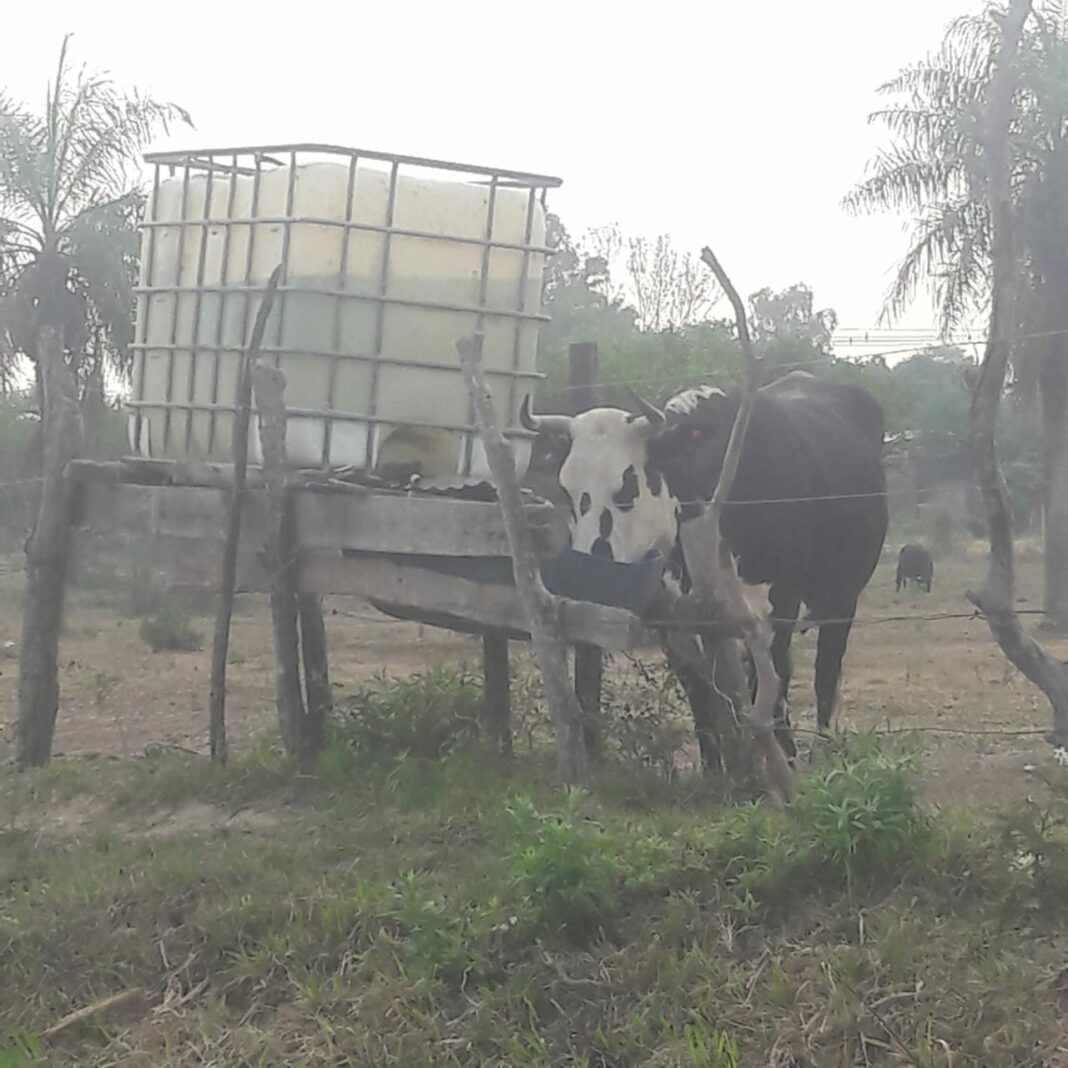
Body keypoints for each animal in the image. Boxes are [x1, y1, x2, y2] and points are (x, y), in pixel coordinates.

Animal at [521, 371, 888, 756]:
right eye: (567, 491)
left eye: (627, 486)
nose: (587, 573)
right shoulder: (676, 623)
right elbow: (701, 695)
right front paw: (713, 761)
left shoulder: (780, 604)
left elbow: (773, 684)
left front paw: (785, 754)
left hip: (843, 596)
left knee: (825, 669)